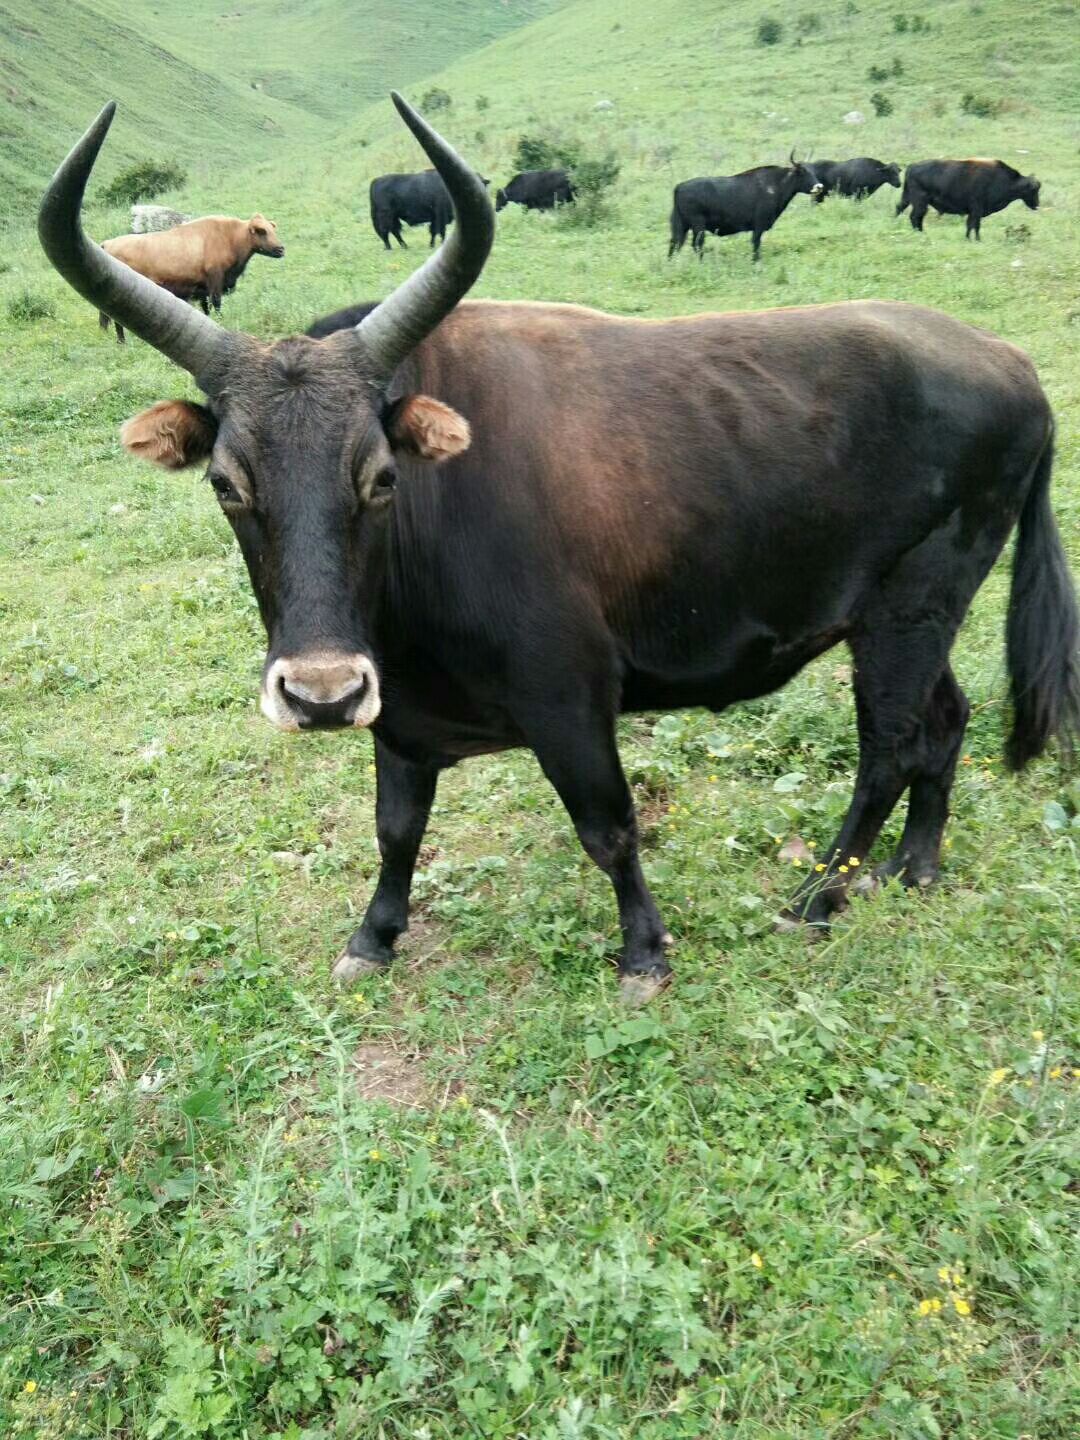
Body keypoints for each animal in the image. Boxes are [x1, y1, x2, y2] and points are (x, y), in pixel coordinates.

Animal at [97, 211, 285, 341]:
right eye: (261, 231)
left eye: (272, 228)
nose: (281, 249)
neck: (230, 236)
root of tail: (107, 244)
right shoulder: (215, 282)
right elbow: (216, 304)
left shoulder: (202, 289)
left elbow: (206, 308)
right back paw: (122, 341)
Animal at [668, 154, 829, 262]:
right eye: (802, 172)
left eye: (813, 171)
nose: (819, 187)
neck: (775, 185)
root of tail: (679, 187)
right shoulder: (758, 226)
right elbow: (756, 243)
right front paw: (756, 262)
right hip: (697, 226)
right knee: (696, 244)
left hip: (682, 226)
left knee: (675, 243)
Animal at [898, 158, 1042, 239]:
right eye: (1033, 190)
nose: (1037, 205)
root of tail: (912, 166)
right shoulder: (976, 210)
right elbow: (975, 226)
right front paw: (976, 239)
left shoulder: (973, 212)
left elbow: (970, 225)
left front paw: (969, 238)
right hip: (920, 203)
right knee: (915, 217)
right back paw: (920, 234)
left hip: (910, 200)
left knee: (904, 210)